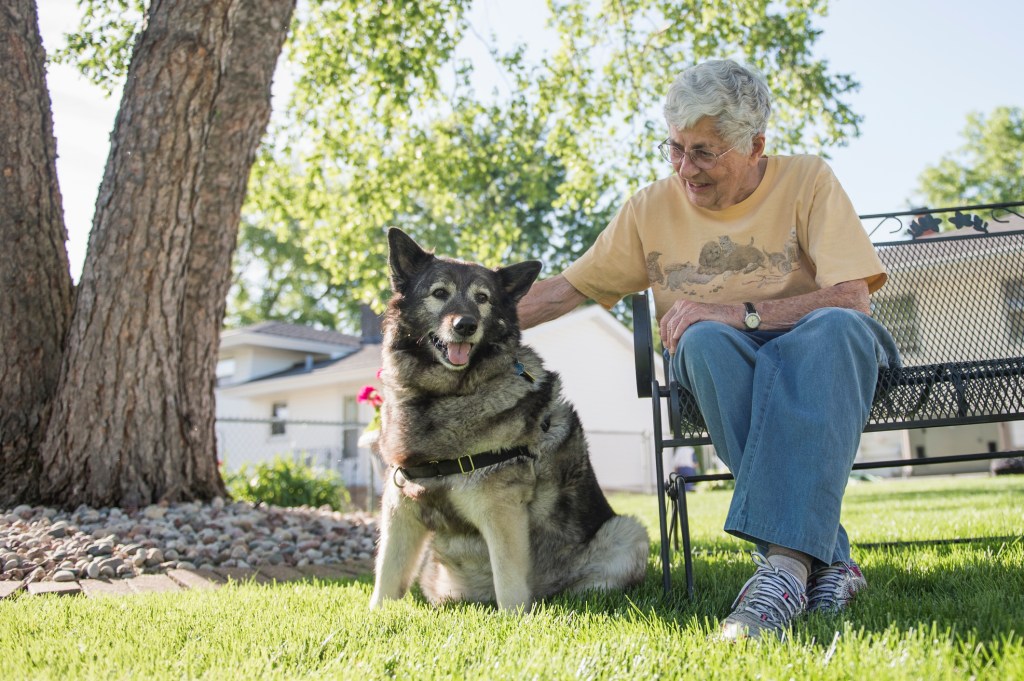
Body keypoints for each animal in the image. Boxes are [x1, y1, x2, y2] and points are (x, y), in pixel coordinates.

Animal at [368, 228, 647, 610]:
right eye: (439, 293)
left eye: (483, 298)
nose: (466, 325)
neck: (445, 397)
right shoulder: (400, 509)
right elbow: (386, 578)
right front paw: (375, 616)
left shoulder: (500, 510)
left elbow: (511, 587)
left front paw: (515, 620)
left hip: (626, 531)